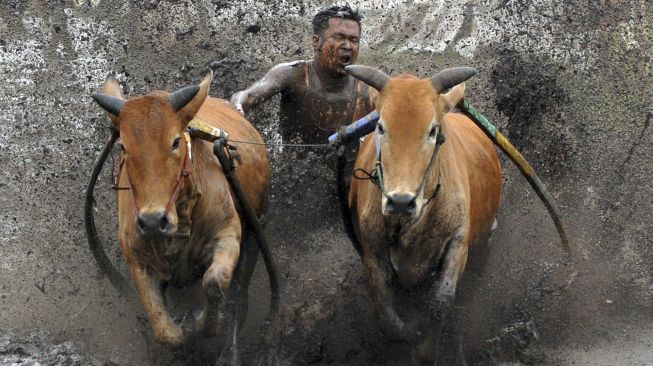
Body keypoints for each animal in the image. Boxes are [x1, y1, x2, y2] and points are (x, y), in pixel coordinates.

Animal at [91, 72, 270, 366]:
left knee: (239, 299)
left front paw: (201, 322)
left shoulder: (228, 234)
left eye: (175, 142)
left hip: (257, 232)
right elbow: (165, 332)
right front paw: (183, 330)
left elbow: (215, 283)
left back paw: (229, 354)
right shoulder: (137, 258)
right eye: (123, 146)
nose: (153, 221)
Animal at [348, 64, 502, 364]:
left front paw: (427, 351)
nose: (400, 201)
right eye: (380, 126)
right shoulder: (372, 250)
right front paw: (408, 331)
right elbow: (385, 310)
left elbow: (441, 301)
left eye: (432, 130)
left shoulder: (458, 241)